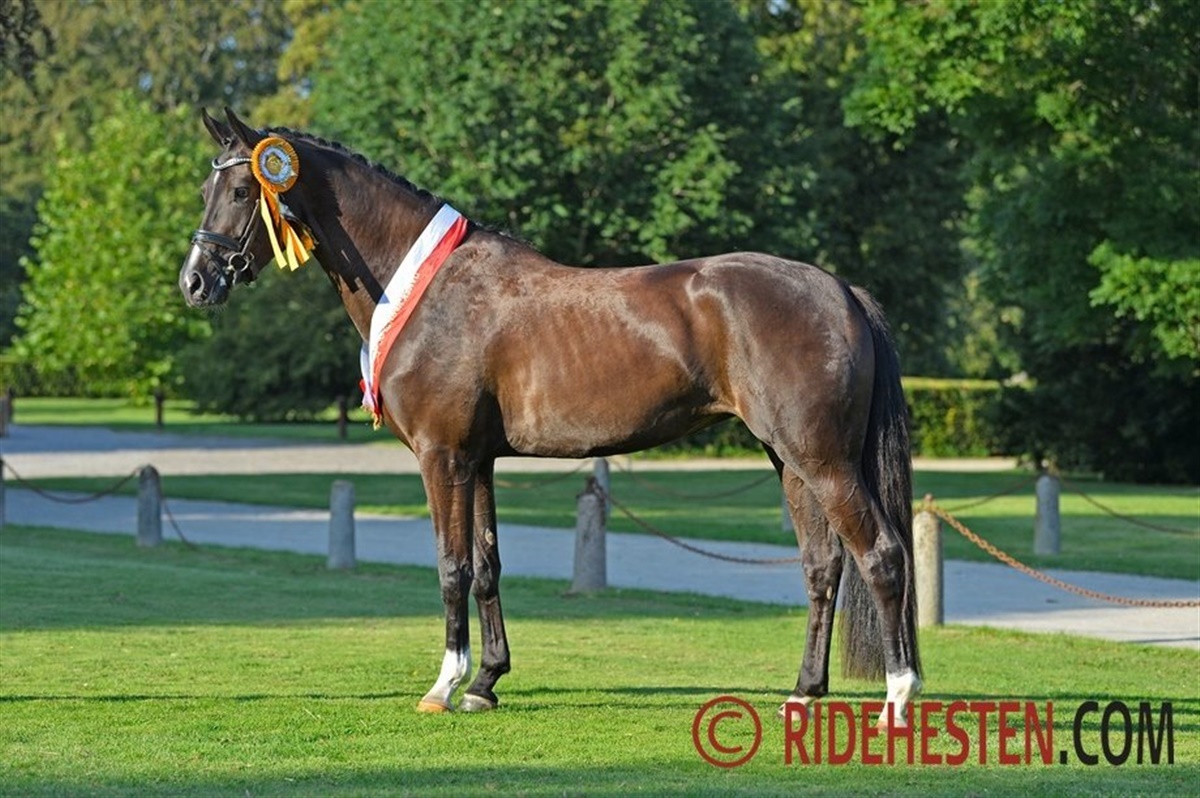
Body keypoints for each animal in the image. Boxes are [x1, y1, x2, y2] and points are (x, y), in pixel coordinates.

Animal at [179, 108, 921, 724]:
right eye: (208, 191)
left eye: (242, 192)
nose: (195, 281)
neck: (428, 288)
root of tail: (840, 291)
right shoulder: (477, 460)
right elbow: (486, 566)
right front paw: (486, 682)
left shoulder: (441, 457)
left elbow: (450, 566)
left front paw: (445, 686)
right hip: (790, 461)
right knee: (822, 566)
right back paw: (805, 691)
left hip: (822, 461)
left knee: (882, 556)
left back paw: (898, 697)